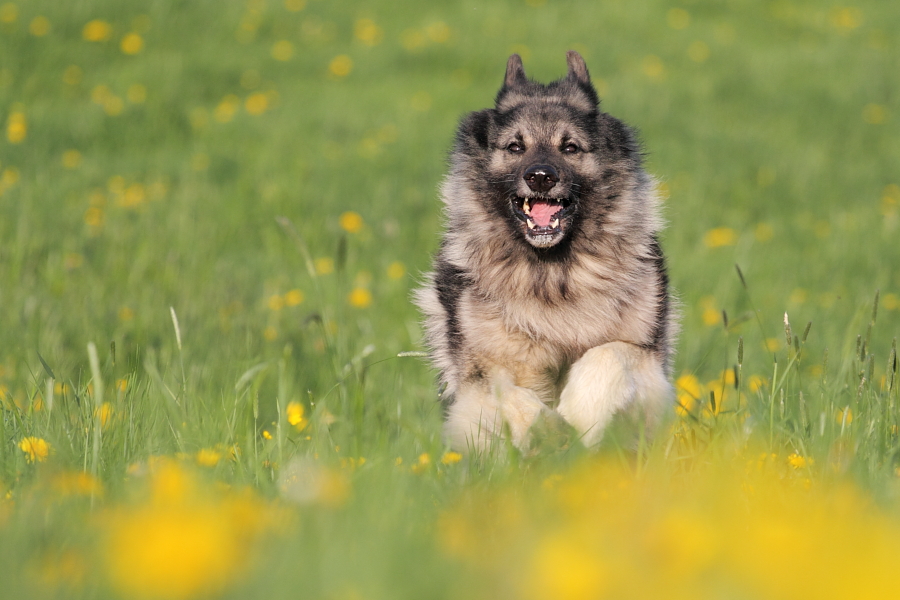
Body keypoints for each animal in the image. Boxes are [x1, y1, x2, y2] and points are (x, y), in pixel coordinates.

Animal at [414, 51, 676, 452]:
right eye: (515, 147)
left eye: (570, 147)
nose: (541, 177)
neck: (553, 273)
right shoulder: (478, 375)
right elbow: (505, 392)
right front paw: (548, 432)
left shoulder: (646, 357)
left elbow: (608, 356)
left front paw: (580, 417)